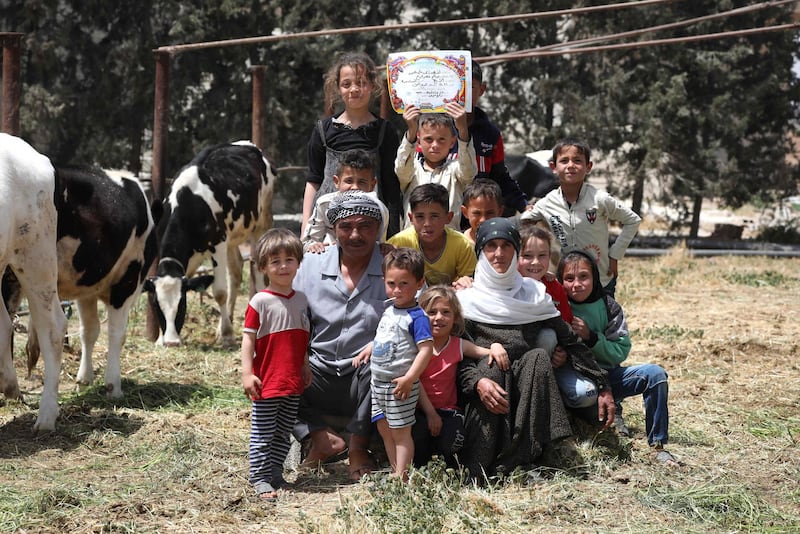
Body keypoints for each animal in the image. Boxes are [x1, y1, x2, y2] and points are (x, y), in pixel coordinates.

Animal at [145, 141, 276, 348]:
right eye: (157, 305)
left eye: (181, 305)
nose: (172, 342)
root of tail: (249, 145)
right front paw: (159, 339)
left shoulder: (218, 244)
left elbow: (220, 292)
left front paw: (228, 336)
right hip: (232, 236)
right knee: (236, 271)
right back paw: (224, 323)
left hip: (261, 223)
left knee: (257, 272)